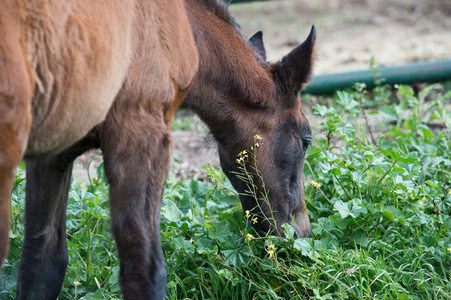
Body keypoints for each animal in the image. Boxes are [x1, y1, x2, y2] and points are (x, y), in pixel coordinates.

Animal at [0, 0, 314, 298]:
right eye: (306, 140)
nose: (303, 234)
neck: (187, 25)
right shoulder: (142, 131)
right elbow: (146, 271)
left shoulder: (54, 153)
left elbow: (42, 265)